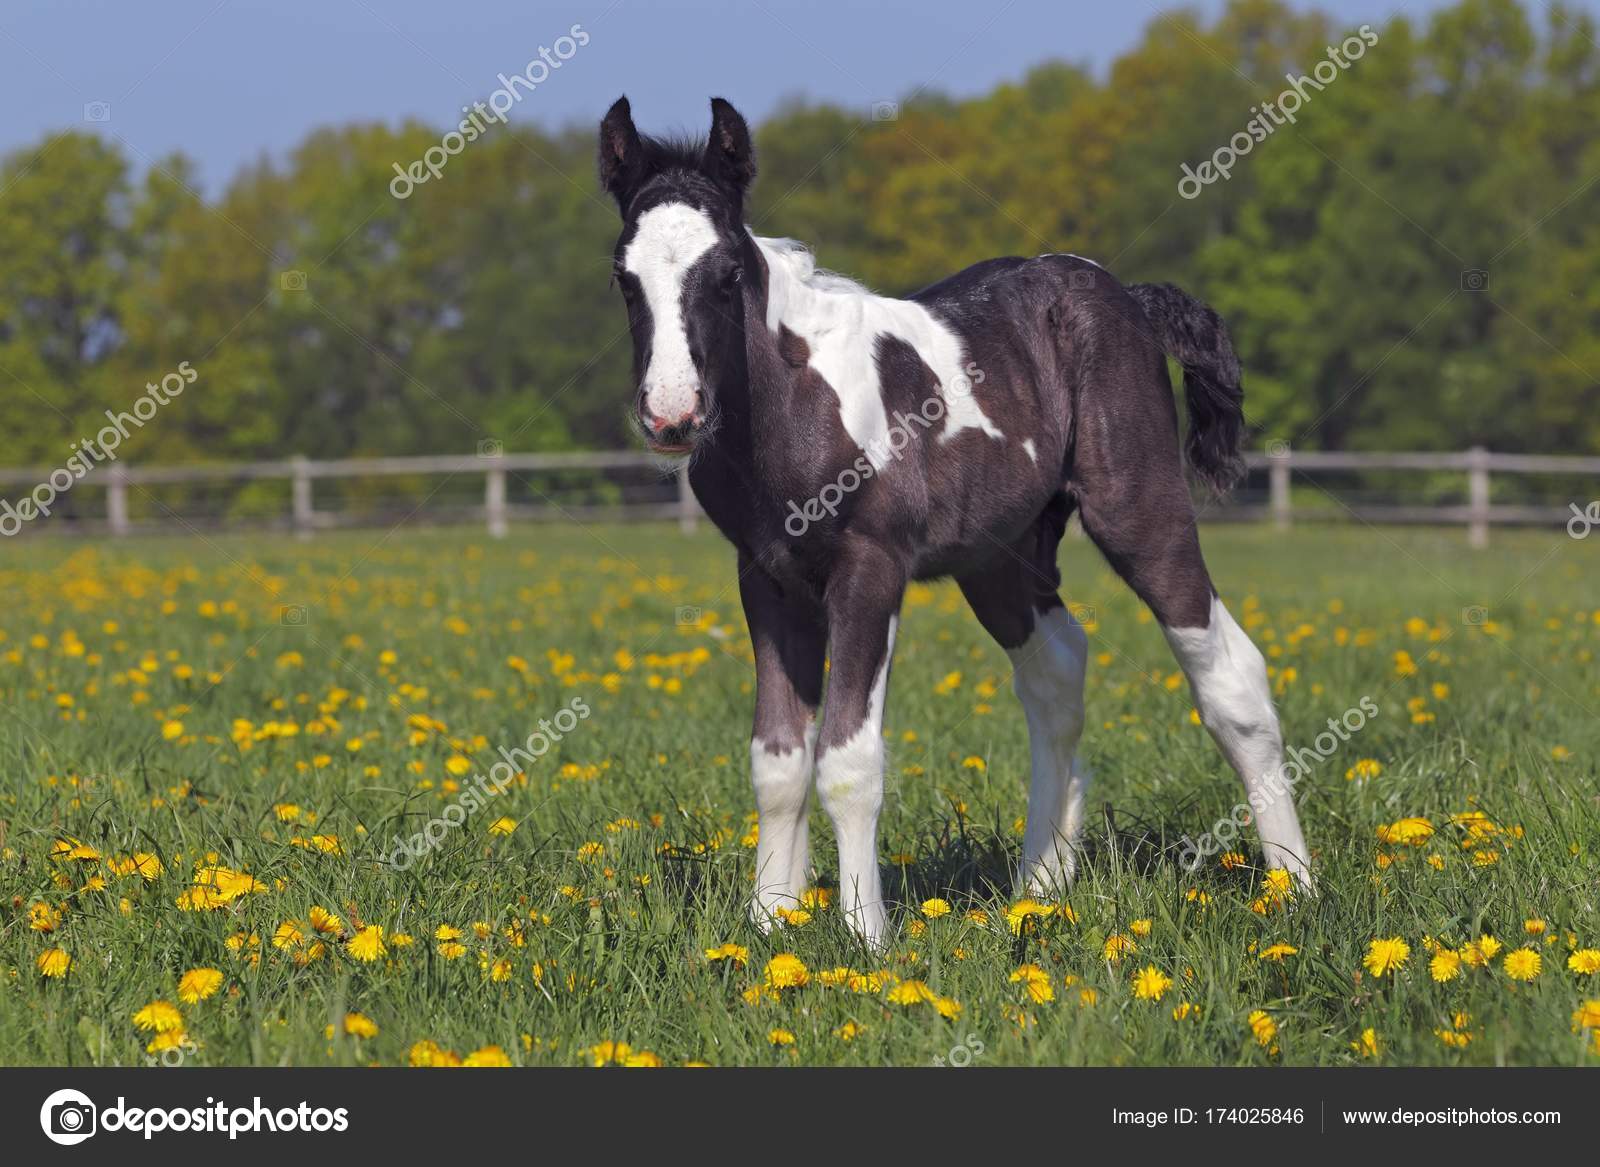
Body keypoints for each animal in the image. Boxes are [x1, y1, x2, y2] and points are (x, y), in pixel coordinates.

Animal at [597, 95, 1312, 946]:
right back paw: (1040, 886)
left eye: (727, 272)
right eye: (623, 276)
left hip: (1140, 512)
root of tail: (1129, 299)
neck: (793, 407)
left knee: (1232, 676)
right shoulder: (767, 576)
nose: (672, 414)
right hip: (1001, 558)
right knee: (1056, 671)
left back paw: (1294, 886)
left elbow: (848, 758)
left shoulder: (870, 569)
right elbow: (777, 759)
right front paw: (770, 923)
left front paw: (864, 935)